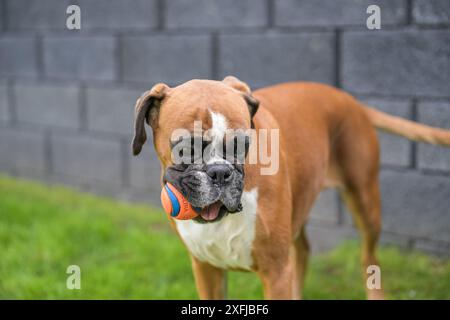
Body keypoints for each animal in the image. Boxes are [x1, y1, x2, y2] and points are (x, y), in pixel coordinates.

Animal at [131, 77, 450, 300]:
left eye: (242, 145)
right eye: (186, 148)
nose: (220, 172)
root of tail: (348, 99)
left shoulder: (276, 272)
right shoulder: (206, 270)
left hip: (365, 202)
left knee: (368, 258)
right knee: (304, 250)